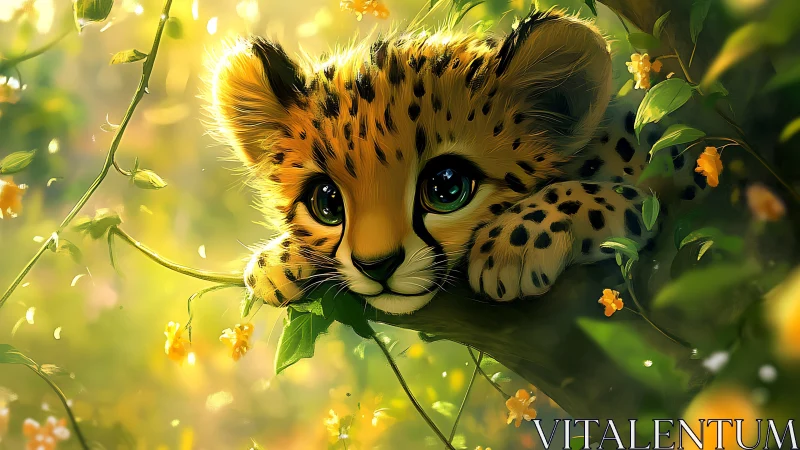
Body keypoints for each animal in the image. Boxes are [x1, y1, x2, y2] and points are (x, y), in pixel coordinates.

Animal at [205, 9, 708, 315]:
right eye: (327, 202)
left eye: (446, 187)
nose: (376, 266)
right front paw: (277, 259)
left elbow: (603, 192)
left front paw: (514, 244)